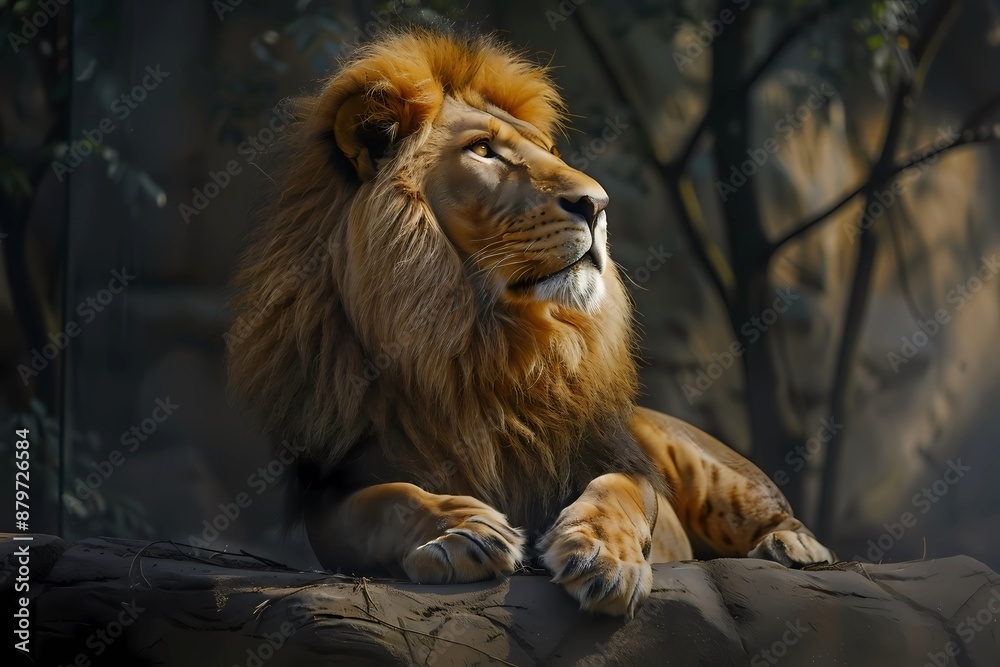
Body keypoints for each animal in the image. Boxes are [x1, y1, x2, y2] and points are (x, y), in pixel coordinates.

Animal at [226, 28, 834, 618]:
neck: (487, 341)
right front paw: (465, 531)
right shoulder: (332, 486)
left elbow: (617, 492)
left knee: (769, 506)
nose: (598, 204)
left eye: (547, 153)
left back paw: (794, 546)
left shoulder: (619, 460)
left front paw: (601, 557)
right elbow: (389, 499)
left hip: (704, 465)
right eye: (483, 150)